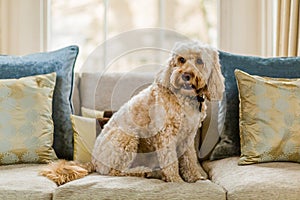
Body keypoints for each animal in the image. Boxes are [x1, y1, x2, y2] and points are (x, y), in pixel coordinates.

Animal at [39, 41, 224, 186]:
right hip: (127, 137)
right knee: (117, 171)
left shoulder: (187, 136)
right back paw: (145, 171)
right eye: (181, 59)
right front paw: (176, 181)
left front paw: (194, 178)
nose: (186, 75)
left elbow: (189, 159)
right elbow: (170, 160)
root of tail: (93, 161)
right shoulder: (166, 136)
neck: (185, 98)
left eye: (199, 61)